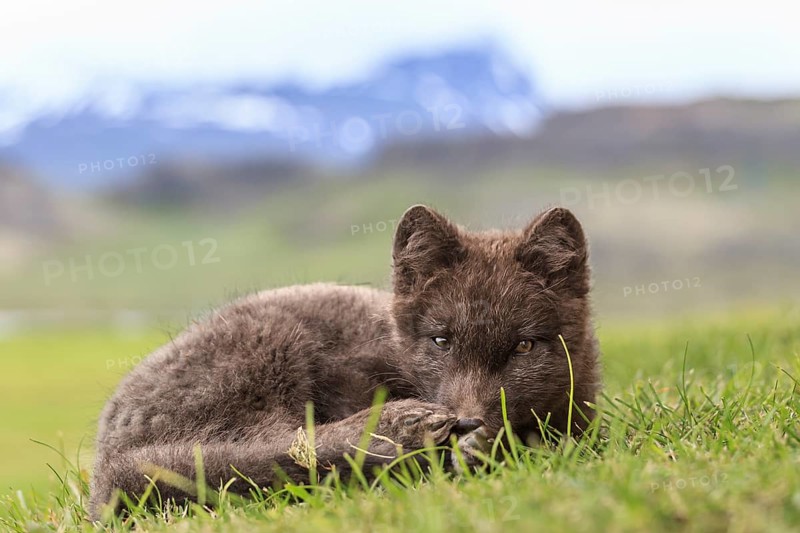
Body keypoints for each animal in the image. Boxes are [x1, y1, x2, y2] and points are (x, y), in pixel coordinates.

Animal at [89, 205, 600, 519]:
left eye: (523, 347)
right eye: (441, 341)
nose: (469, 423)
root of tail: (99, 470)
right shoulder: (348, 375)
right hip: (272, 344)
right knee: (270, 448)